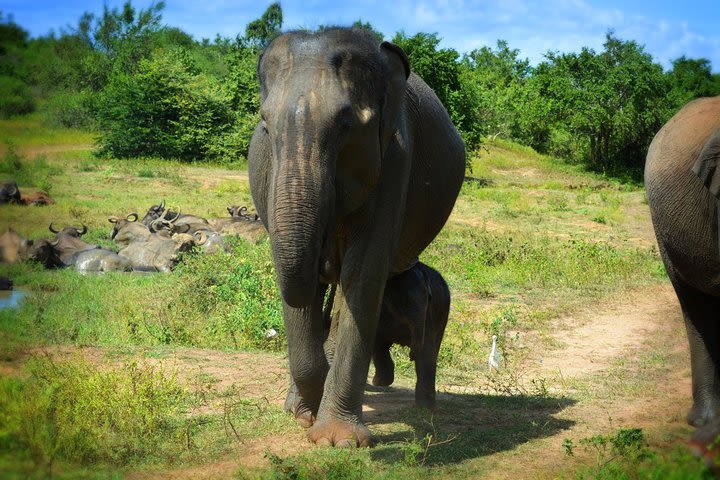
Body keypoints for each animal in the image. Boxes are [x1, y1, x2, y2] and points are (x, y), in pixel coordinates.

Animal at [372, 260, 450, 410]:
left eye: (429, 297)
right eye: (404, 301)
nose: (410, 356)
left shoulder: (428, 315)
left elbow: (426, 353)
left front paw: (426, 408)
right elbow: (377, 341)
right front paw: (379, 383)